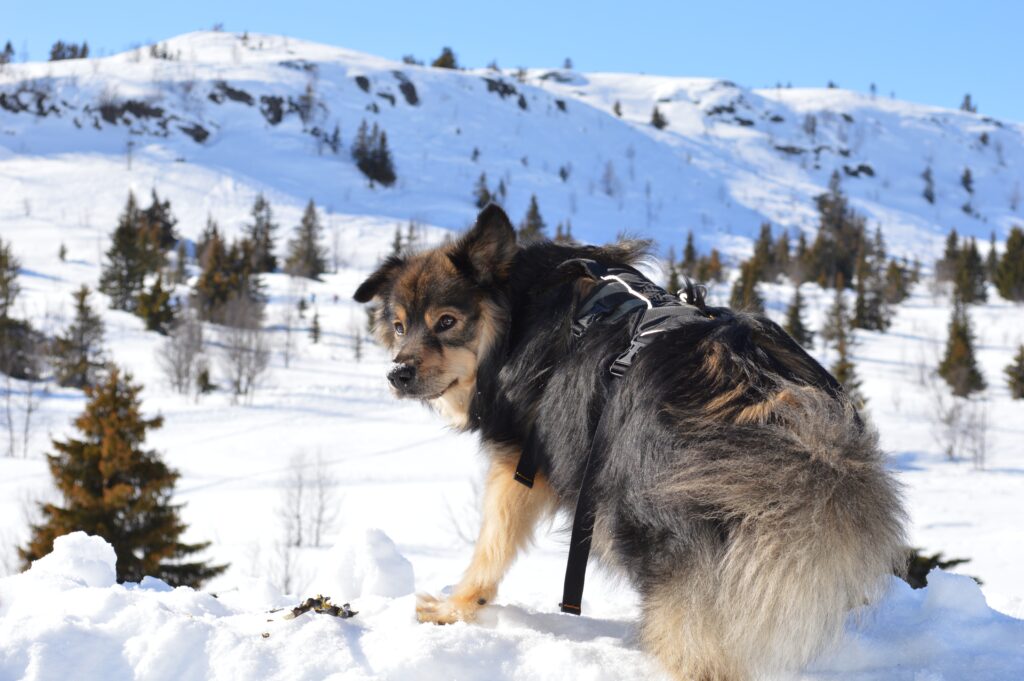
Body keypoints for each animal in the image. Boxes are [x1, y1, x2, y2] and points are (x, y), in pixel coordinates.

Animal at [352, 205, 905, 679]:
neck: (517, 315)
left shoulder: (520, 464)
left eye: (447, 321)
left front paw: (456, 607)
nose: (398, 373)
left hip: (654, 539)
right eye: (398, 326)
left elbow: (491, 544)